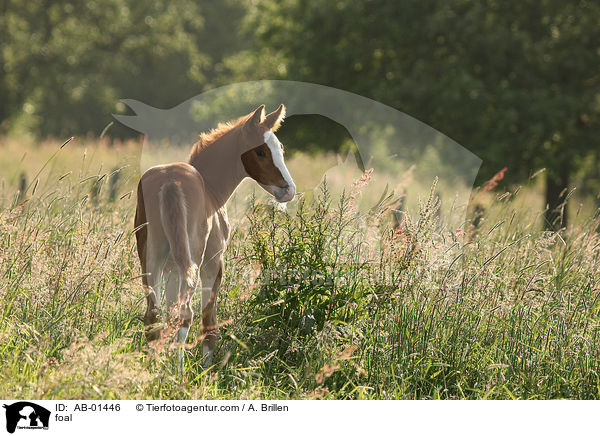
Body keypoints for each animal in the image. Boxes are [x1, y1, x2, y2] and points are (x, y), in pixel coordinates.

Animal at [135, 104, 296, 368]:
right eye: (261, 151)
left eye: (280, 148)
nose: (288, 190)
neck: (210, 188)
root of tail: (170, 181)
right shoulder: (214, 264)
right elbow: (208, 323)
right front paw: (207, 370)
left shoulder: (171, 269)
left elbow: (168, 313)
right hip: (194, 258)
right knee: (185, 314)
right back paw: (177, 375)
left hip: (152, 257)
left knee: (154, 315)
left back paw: (154, 370)